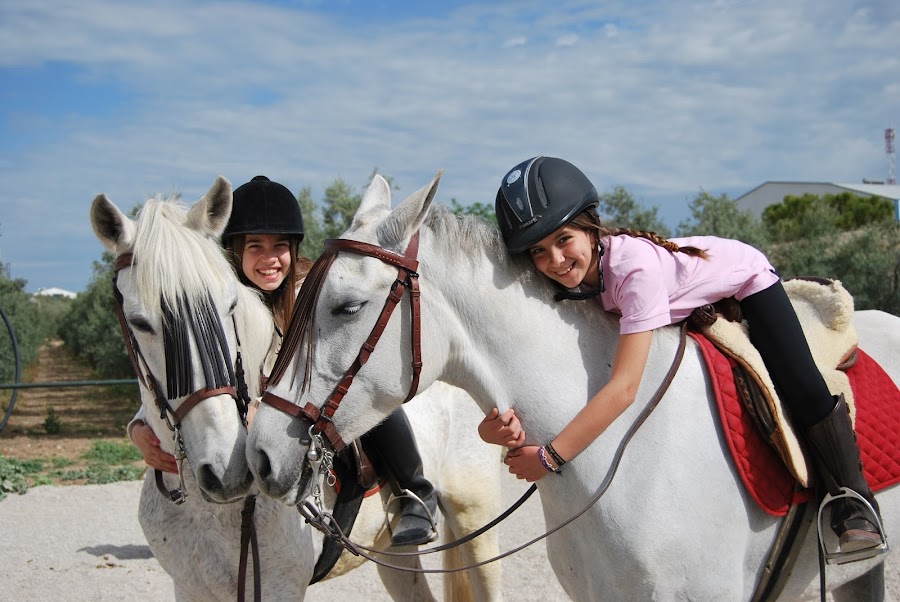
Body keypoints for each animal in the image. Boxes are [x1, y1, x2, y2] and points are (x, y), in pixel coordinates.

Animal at [91, 176, 506, 596]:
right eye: (140, 323)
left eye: (230, 306)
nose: (227, 470)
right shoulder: (190, 588)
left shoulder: (280, 587)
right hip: (393, 552)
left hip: (475, 521)